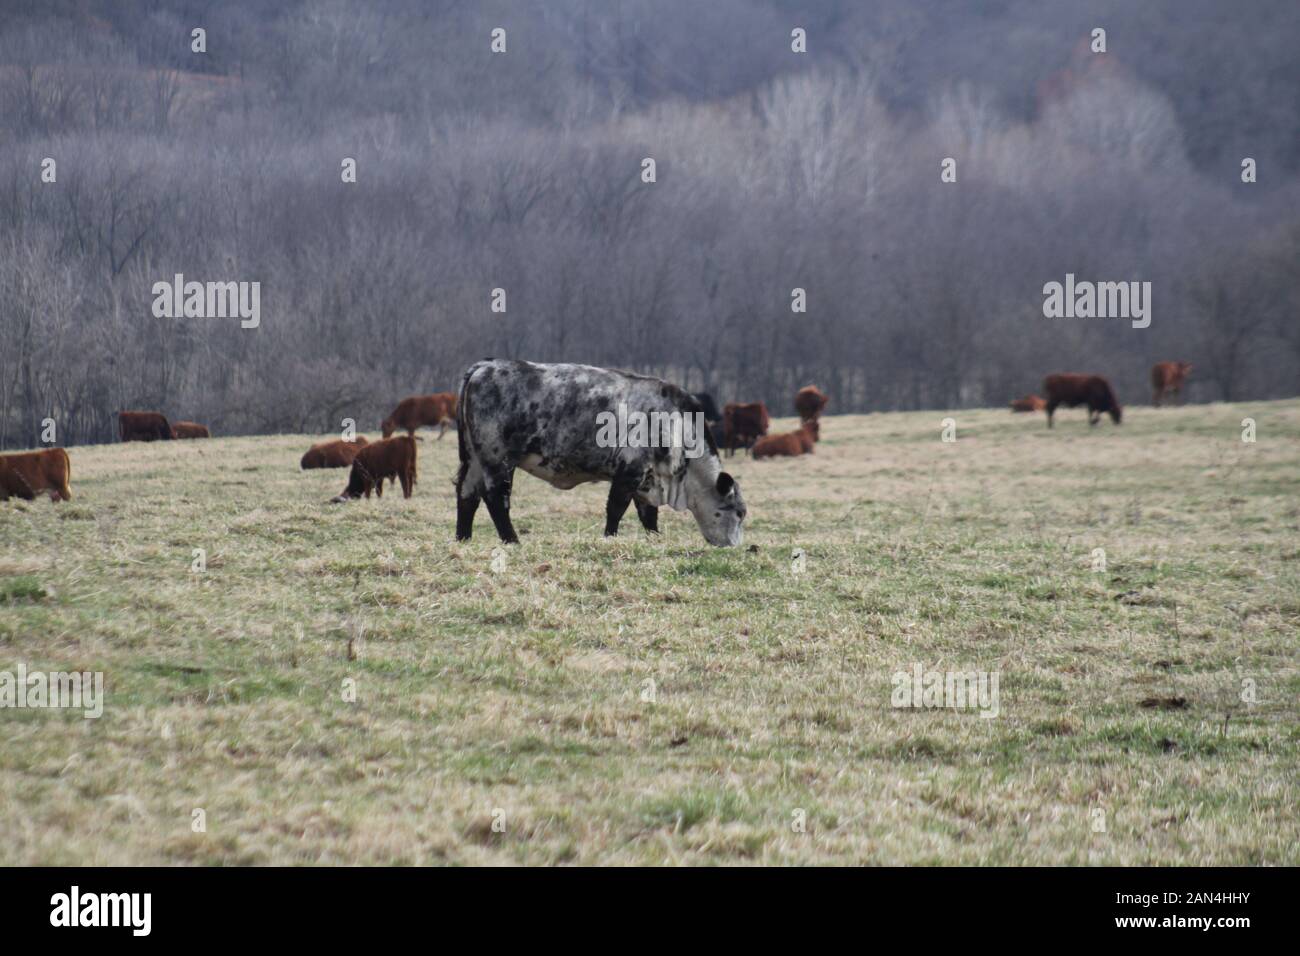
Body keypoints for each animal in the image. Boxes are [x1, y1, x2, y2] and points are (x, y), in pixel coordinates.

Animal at [457, 358, 748, 548]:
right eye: (739, 513)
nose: (734, 547)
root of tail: (484, 367)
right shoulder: (629, 472)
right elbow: (616, 509)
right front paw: (610, 538)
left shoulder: (647, 479)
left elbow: (648, 515)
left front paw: (655, 539)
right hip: (498, 460)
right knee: (496, 498)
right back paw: (512, 540)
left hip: (472, 459)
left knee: (466, 494)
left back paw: (463, 539)